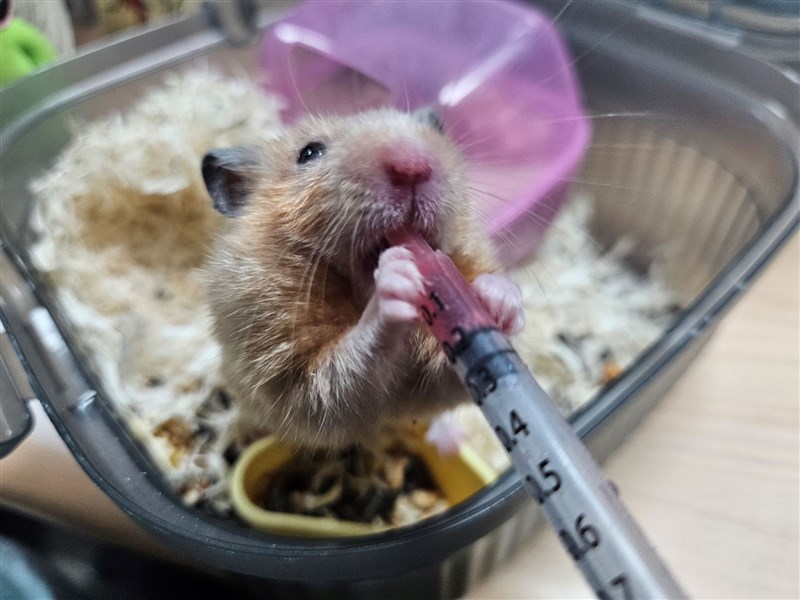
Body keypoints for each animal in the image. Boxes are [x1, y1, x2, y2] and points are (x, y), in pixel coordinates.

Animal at [201, 108, 523, 449]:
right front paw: (396, 277)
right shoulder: (290, 369)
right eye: (309, 153)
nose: (412, 165)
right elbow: (341, 375)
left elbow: (455, 375)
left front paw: (496, 296)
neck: (357, 292)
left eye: (429, 135)